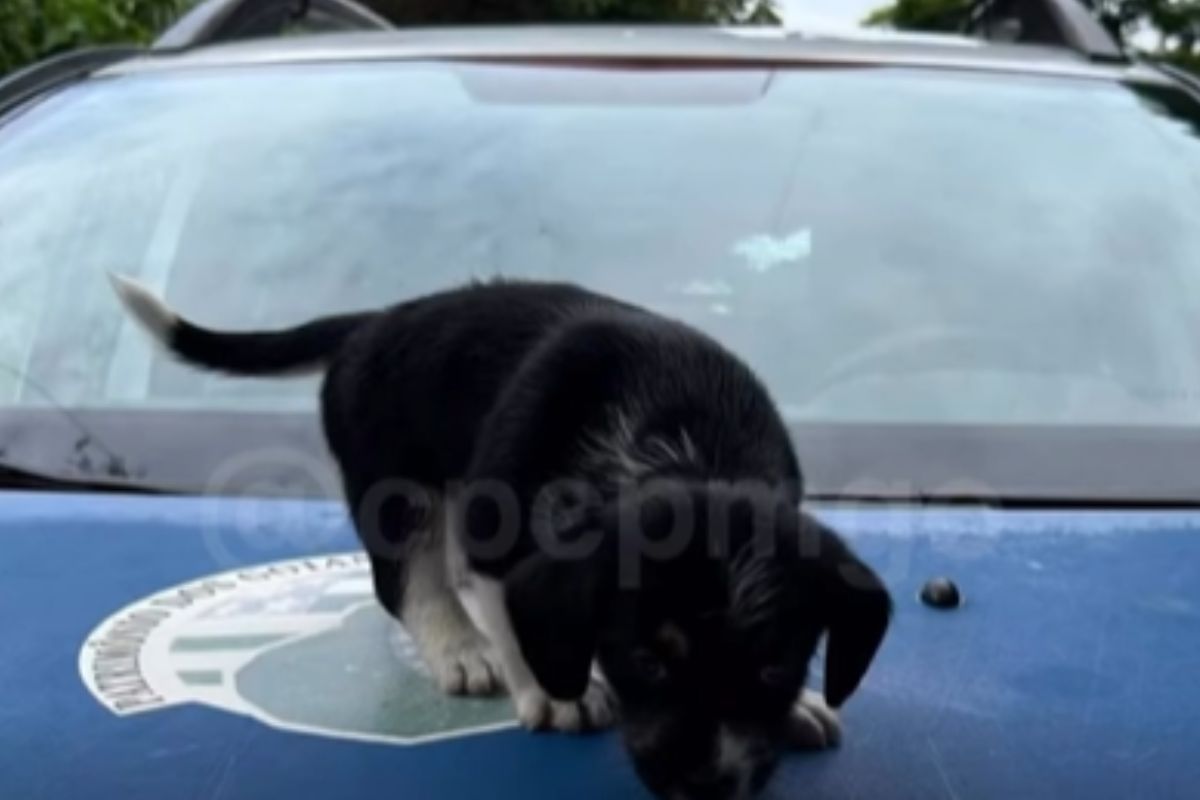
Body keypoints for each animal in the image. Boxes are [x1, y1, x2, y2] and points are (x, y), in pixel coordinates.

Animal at [112, 277, 888, 800]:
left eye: (774, 669)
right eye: (646, 661)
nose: (706, 787)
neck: (682, 443)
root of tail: (376, 322)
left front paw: (801, 706)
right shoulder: (495, 531)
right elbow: (513, 614)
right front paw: (556, 691)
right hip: (396, 489)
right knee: (406, 583)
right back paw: (461, 647)